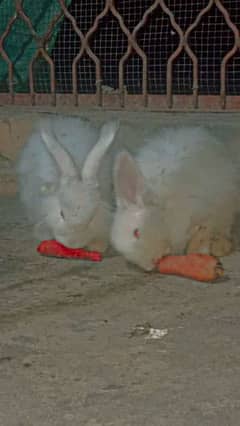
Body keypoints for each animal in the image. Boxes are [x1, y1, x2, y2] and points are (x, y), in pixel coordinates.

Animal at [16, 115, 119, 251]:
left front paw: (98, 247)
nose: (73, 244)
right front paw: (43, 234)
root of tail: (66, 120)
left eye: (91, 218)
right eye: (62, 214)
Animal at [111, 126, 240, 270]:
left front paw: (197, 251)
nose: (151, 263)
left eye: (136, 232)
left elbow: (204, 231)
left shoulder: (206, 210)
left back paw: (220, 247)